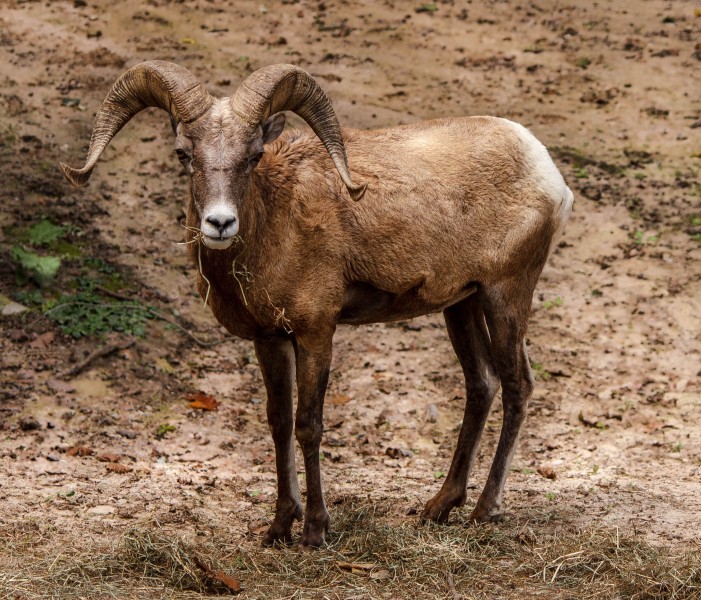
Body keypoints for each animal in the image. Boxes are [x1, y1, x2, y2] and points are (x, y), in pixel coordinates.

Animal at [61, 61, 576, 548]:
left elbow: (308, 425)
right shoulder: (269, 339)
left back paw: (486, 510)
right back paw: (439, 507)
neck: (277, 225)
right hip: (461, 306)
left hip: (505, 295)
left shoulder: (316, 334)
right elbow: (278, 423)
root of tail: (546, 170)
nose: (220, 223)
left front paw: (314, 531)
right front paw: (277, 528)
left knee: (517, 386)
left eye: (254, 155)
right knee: (481, 385)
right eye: (184, 154)